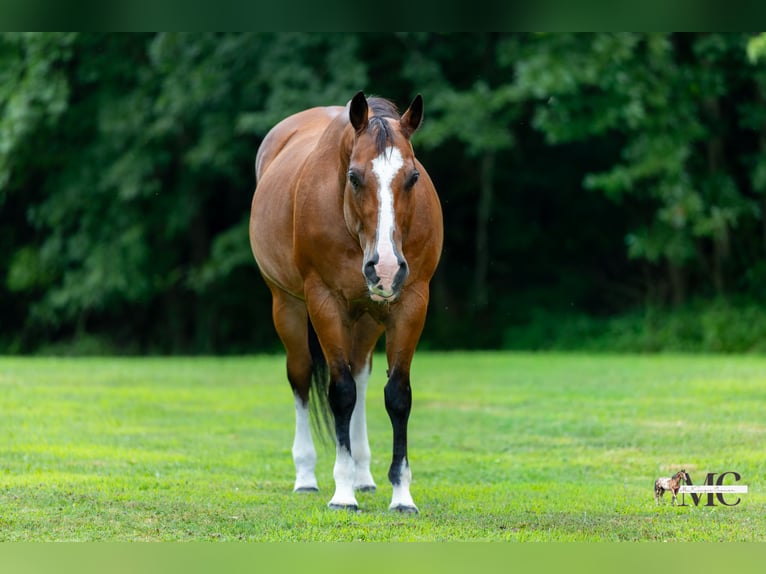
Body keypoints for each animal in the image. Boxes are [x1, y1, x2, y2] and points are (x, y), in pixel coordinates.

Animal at [249, 92, 443, 513]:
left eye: (413, 177)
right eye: (354, 177)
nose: (385, 267)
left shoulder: (411, 303)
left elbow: (397, 396)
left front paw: (401, 495)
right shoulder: (325, 303)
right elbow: (340, 393)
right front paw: (342, 493)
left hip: (367, 319)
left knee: (361, 375)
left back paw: (363, 474)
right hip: (287, 306)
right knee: (302, 376)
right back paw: (307, 476)